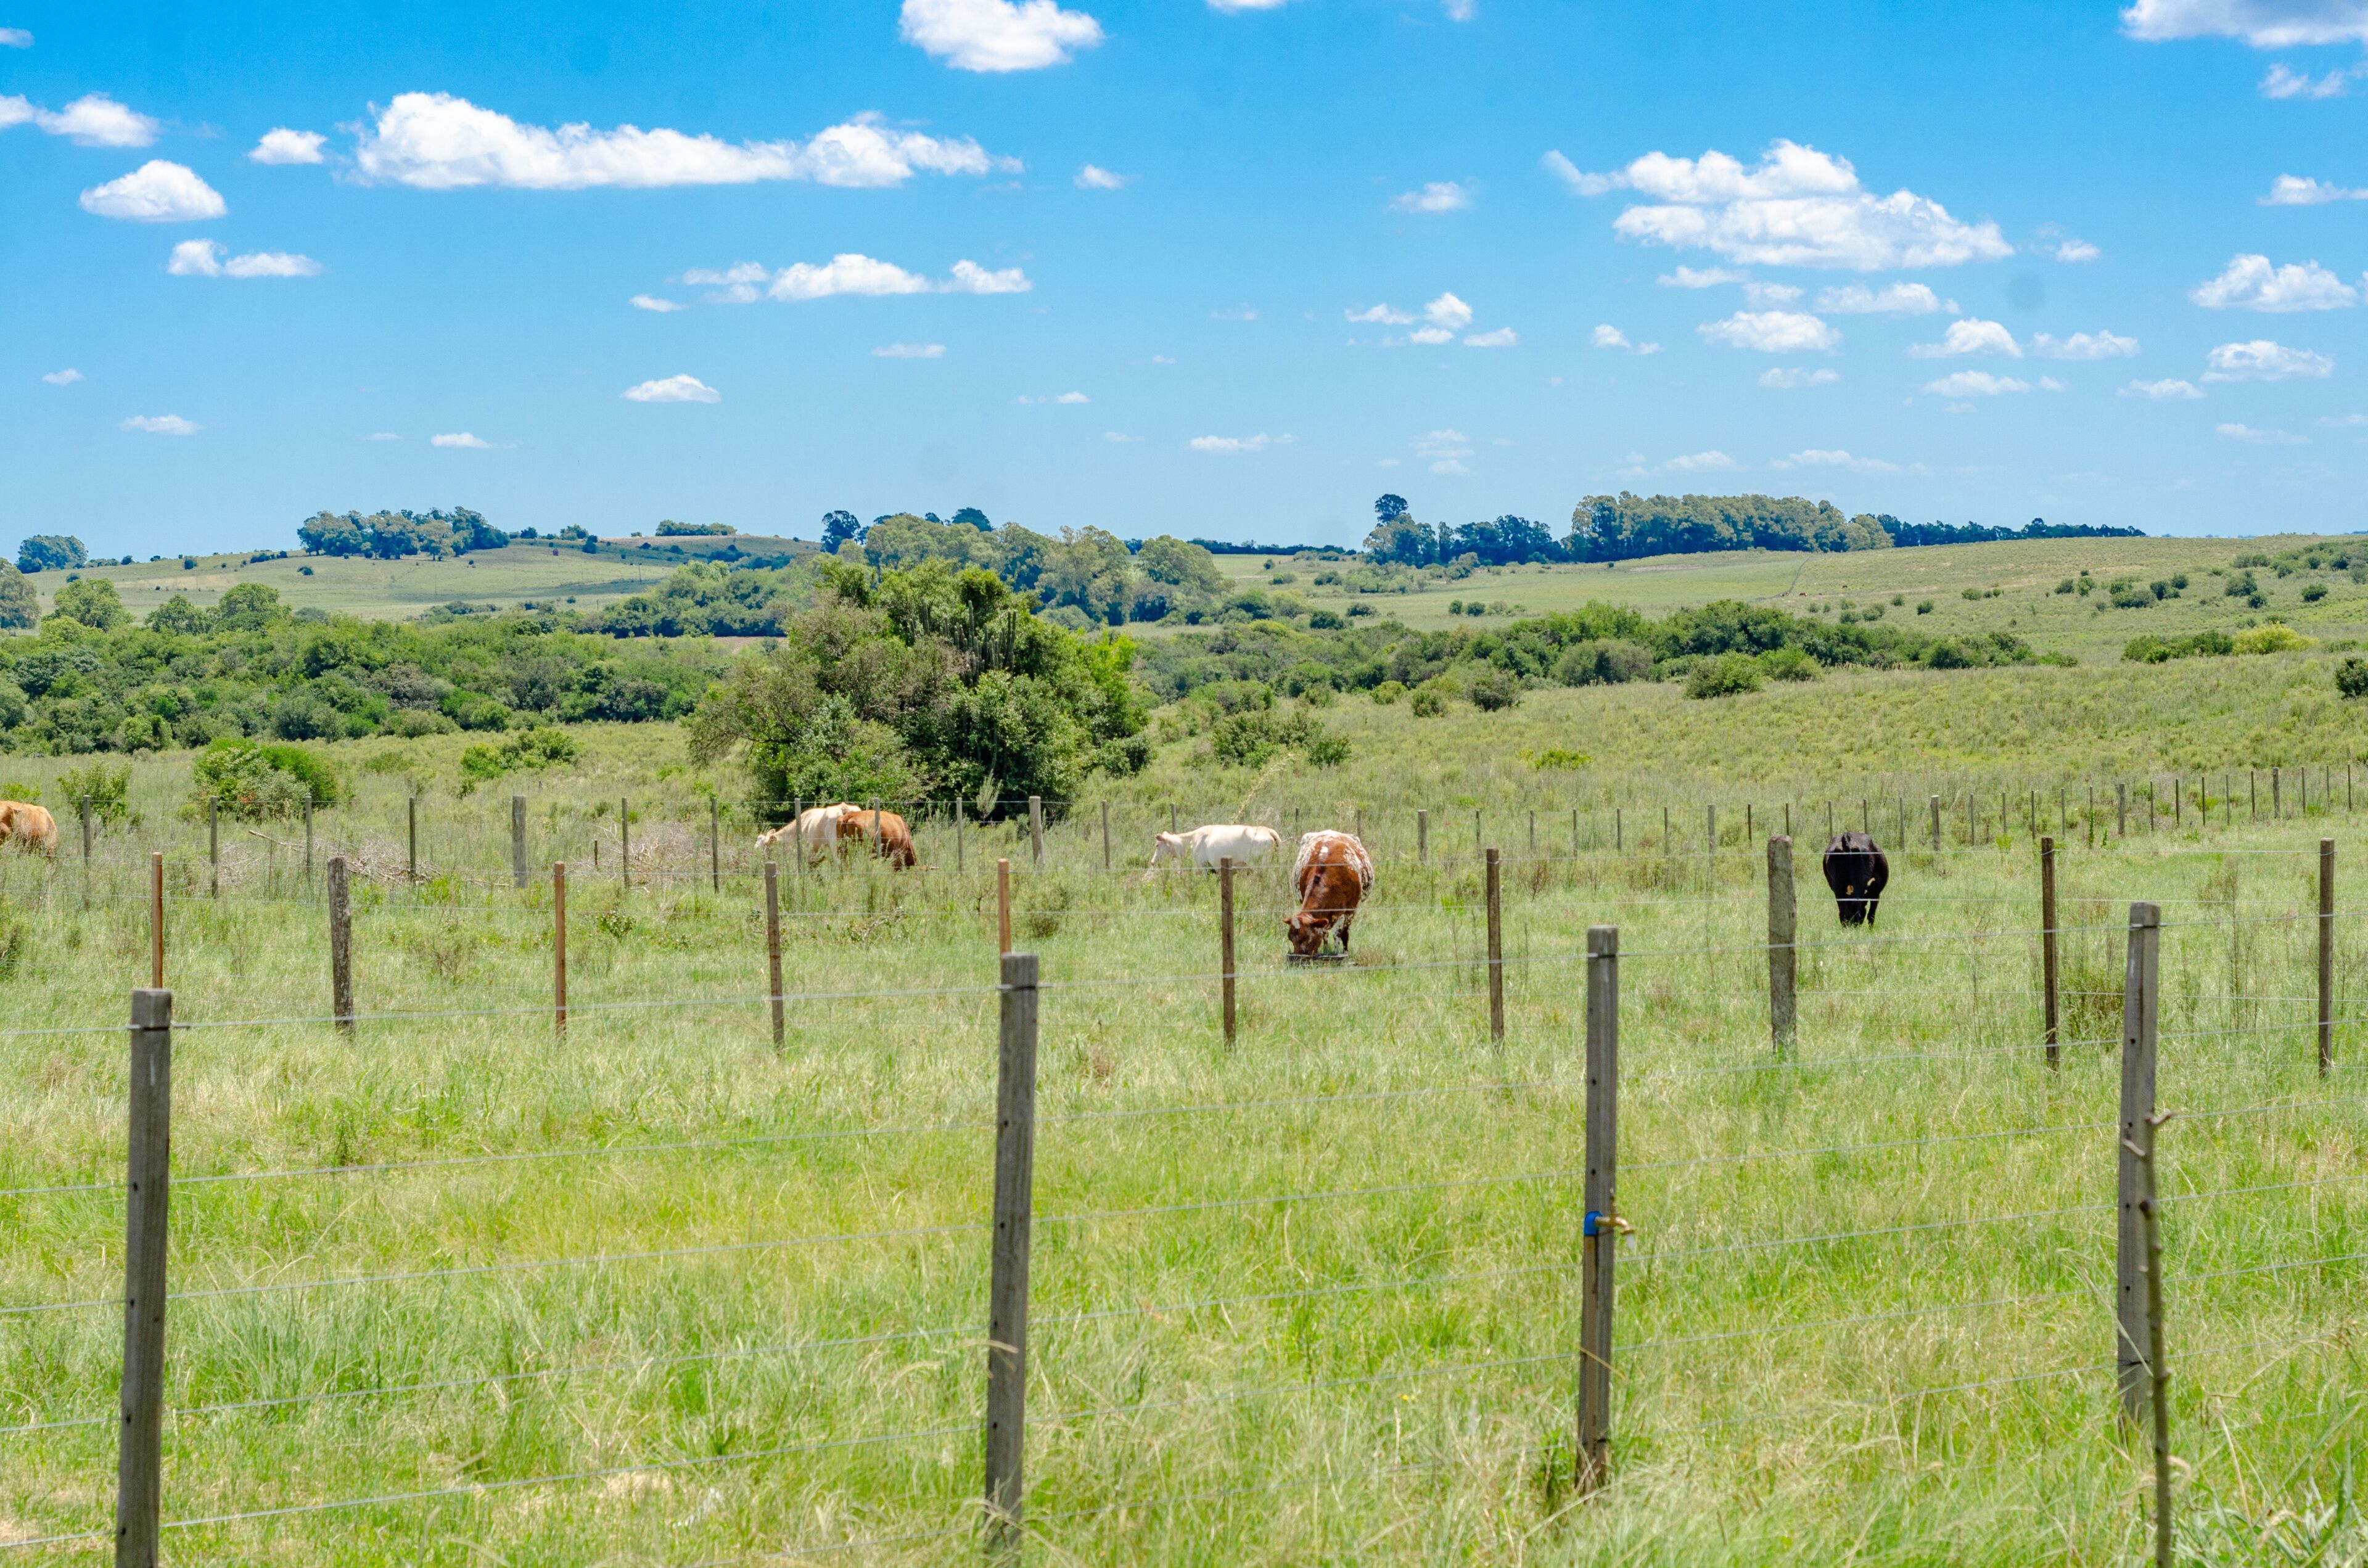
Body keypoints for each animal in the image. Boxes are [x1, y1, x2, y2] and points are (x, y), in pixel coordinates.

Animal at [1146, 823, 1283, 877]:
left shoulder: (1202, 867)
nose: (1152, 862)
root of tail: (1267, 830)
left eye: (1157, 845)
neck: (1192, 841)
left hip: (1263, 866)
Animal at [1287, 830, 1374, 957]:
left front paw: (1341, 953)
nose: (1299, 957)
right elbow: (1324, 933)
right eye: (1291, 938)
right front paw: (1324, 951)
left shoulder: (1348, 911)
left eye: (1307, 937)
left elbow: (1340, 934)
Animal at [1822, 830, 1889, 925]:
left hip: (1838, 886)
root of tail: (1847, 838)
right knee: (1856, 907)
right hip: (1860, 883)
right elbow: (1871, 915)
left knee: (1844, 912)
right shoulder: (1876, 893)